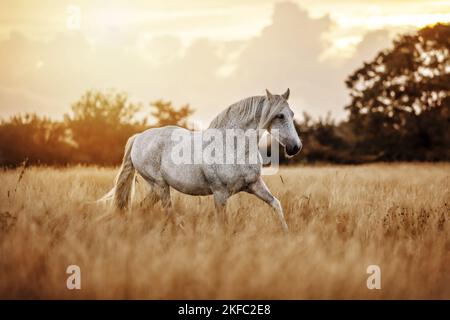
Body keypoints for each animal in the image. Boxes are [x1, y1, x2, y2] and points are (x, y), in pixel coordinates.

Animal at [99, 89, 302, 231]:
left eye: (292, 114)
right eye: (279, 115)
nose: (295, 147)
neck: (232, 146)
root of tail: (139, 137)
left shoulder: (255, 185)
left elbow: (276, 205)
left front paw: (286, 234)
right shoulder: (220, 194)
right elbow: (222, 224)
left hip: (156, 189)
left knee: (142, 209)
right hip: (160, 186)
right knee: (168, 213)